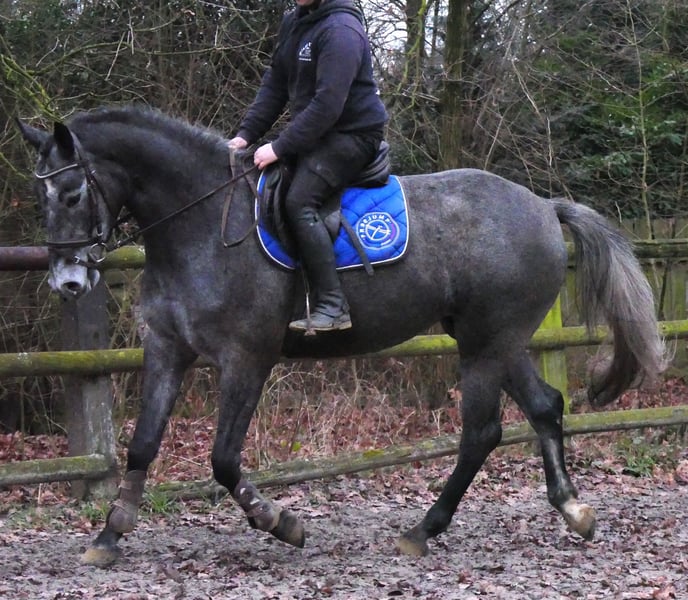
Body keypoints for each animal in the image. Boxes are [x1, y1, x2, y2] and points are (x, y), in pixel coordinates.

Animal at [19, 105, 666, 566]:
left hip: (486, 344)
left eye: (73, 193)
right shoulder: (166, 352)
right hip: (494, 340)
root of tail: (543, 205)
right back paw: (573, 510)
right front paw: (110, 535)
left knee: (483, 431)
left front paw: (282, 523)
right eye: (40, 197)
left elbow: (224, 459)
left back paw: (421, 531)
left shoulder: (246, 358)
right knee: (544, 407)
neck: (198, 226)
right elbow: (143, 444)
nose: (68, 281)